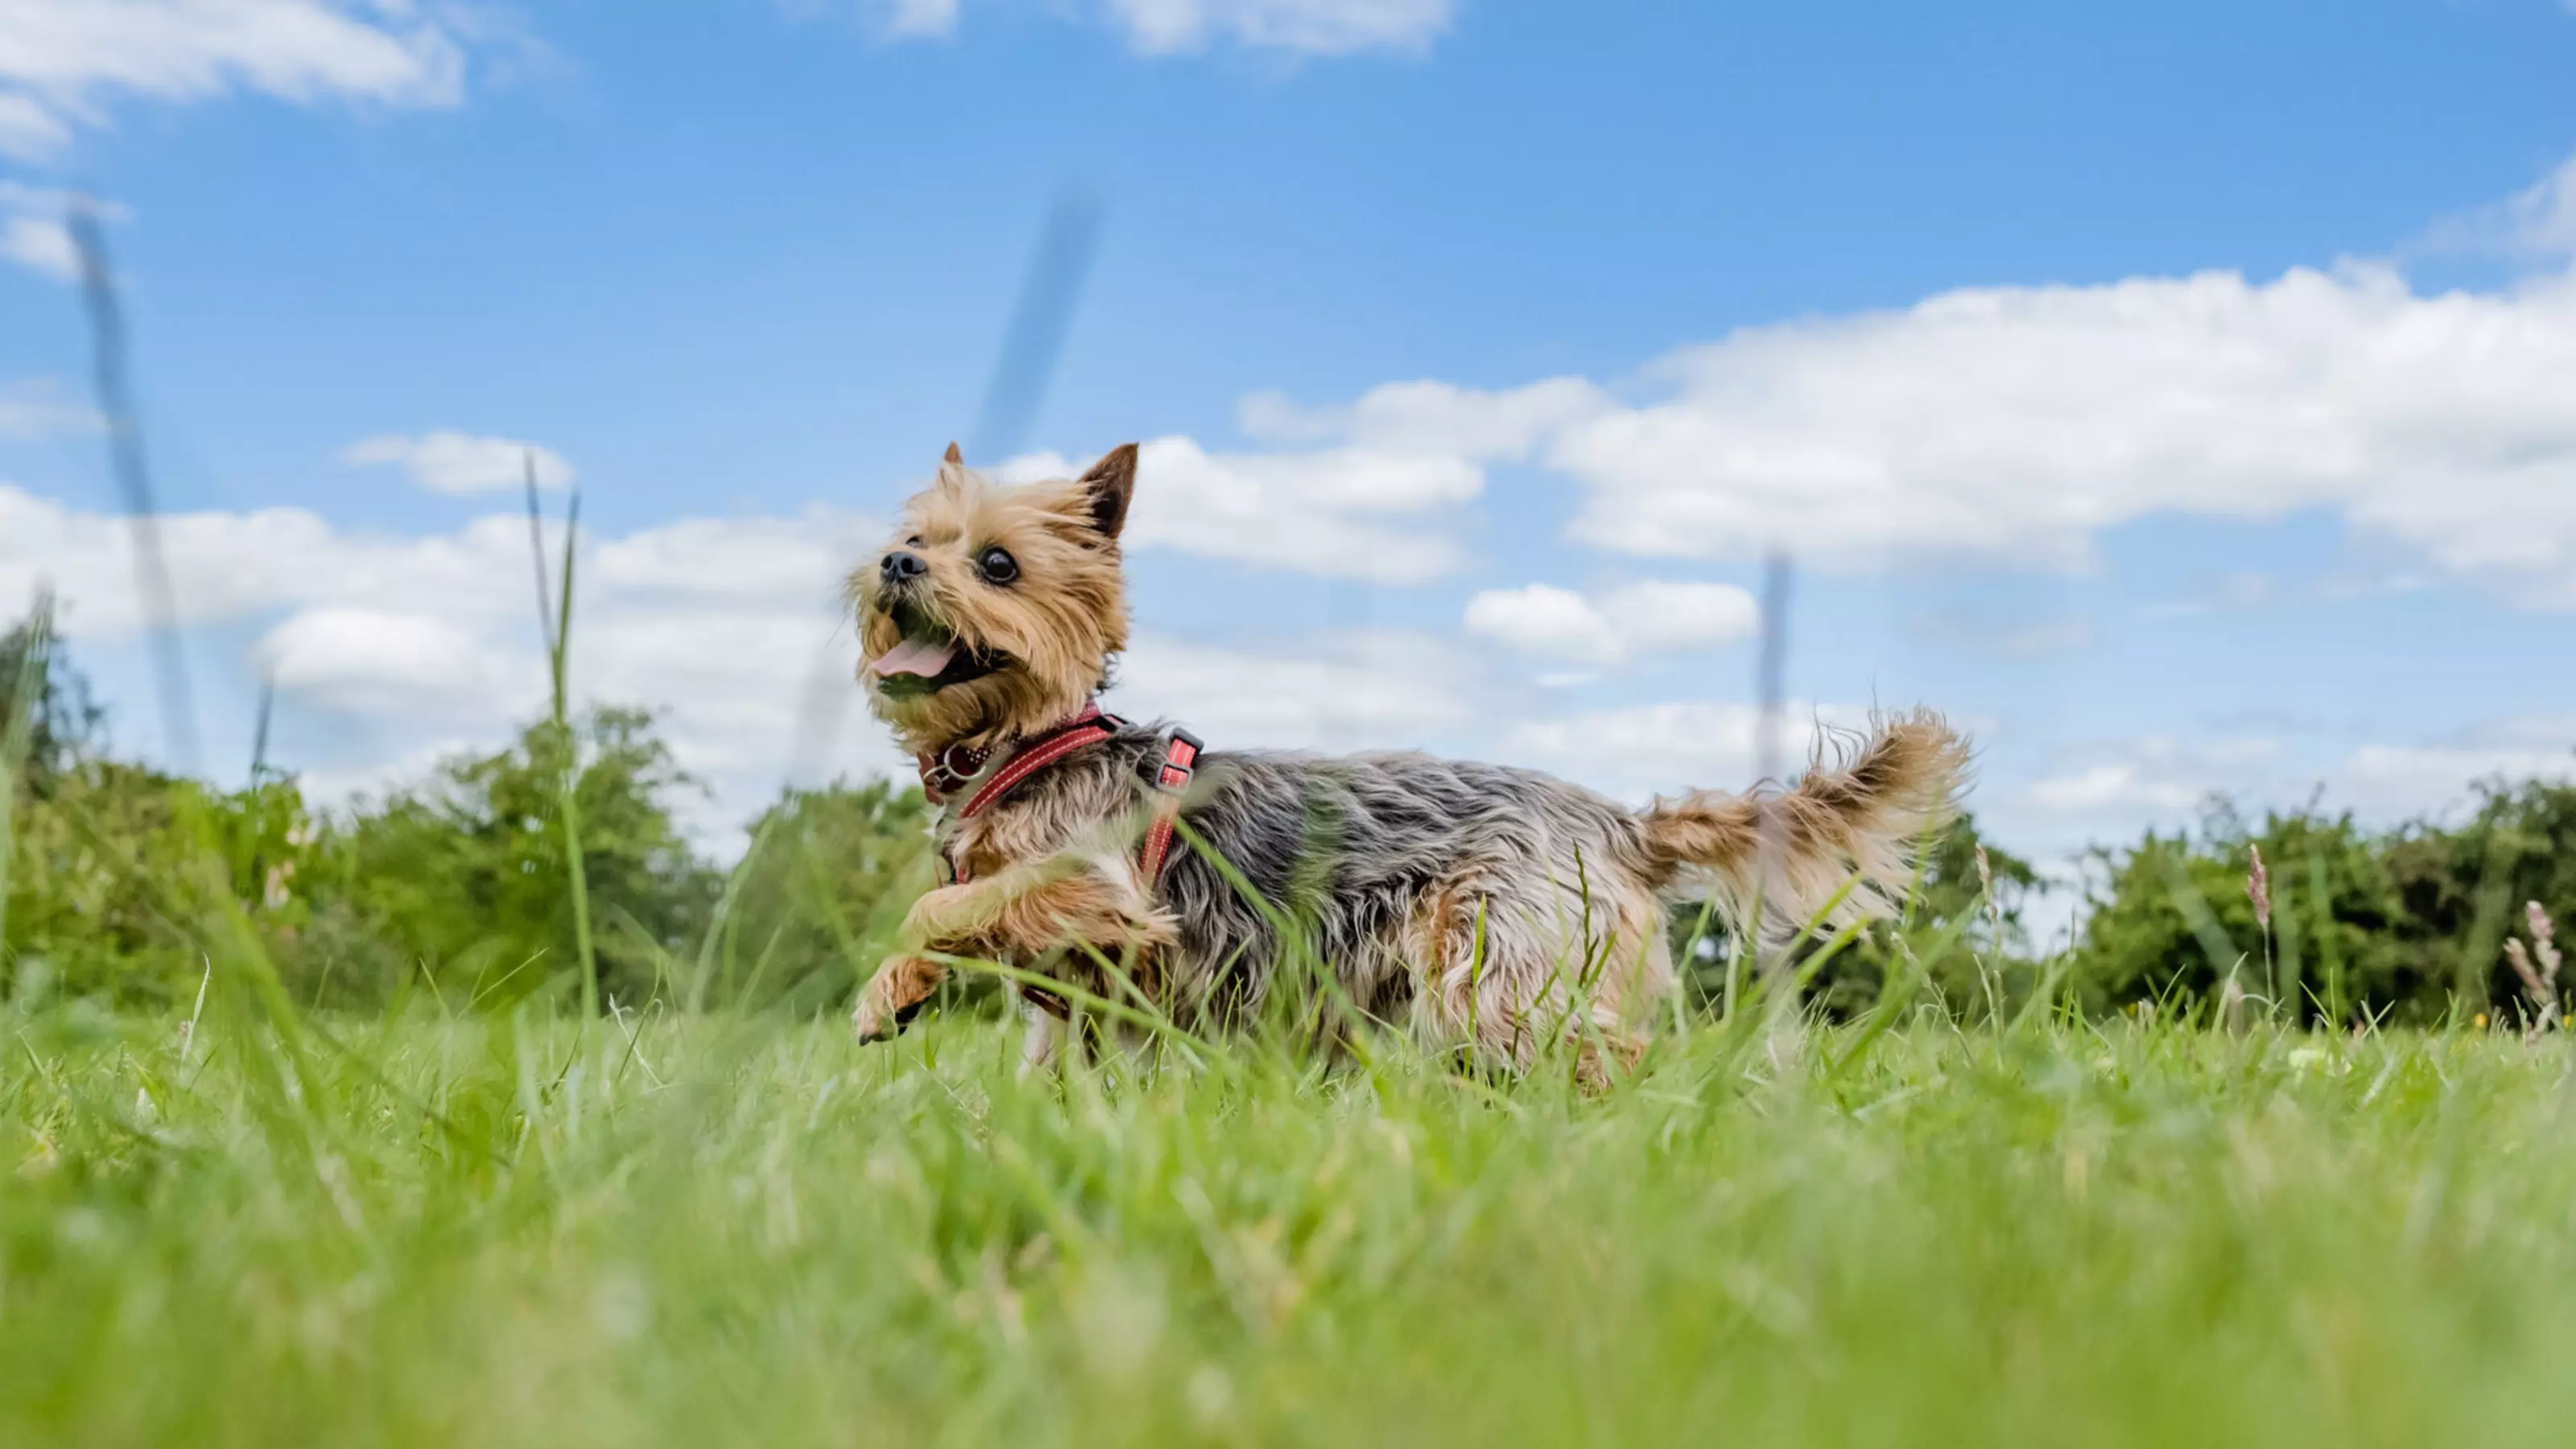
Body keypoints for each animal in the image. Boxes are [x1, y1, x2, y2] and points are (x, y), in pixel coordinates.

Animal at [855, 446, 1958, 1077]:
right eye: (913, 538)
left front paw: (887, 983)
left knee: (1596, 1051)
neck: (1022, 744)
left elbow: (942, 904)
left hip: (1495, 965)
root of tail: (1616, 821)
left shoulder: (1101, 889)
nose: (894, 563)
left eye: (998, 564)